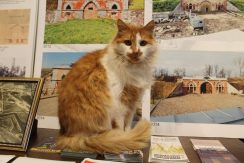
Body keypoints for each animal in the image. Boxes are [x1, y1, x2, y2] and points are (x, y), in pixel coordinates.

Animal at [56, 19, 157, 153]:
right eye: (128, 42)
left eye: (143, 43)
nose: (136, 52)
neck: (133, 70)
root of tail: (65, 134)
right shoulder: (119, 104)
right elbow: (121, 126)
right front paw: (124, 139)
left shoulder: (132, 104)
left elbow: (128, 125)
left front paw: (128, 136)